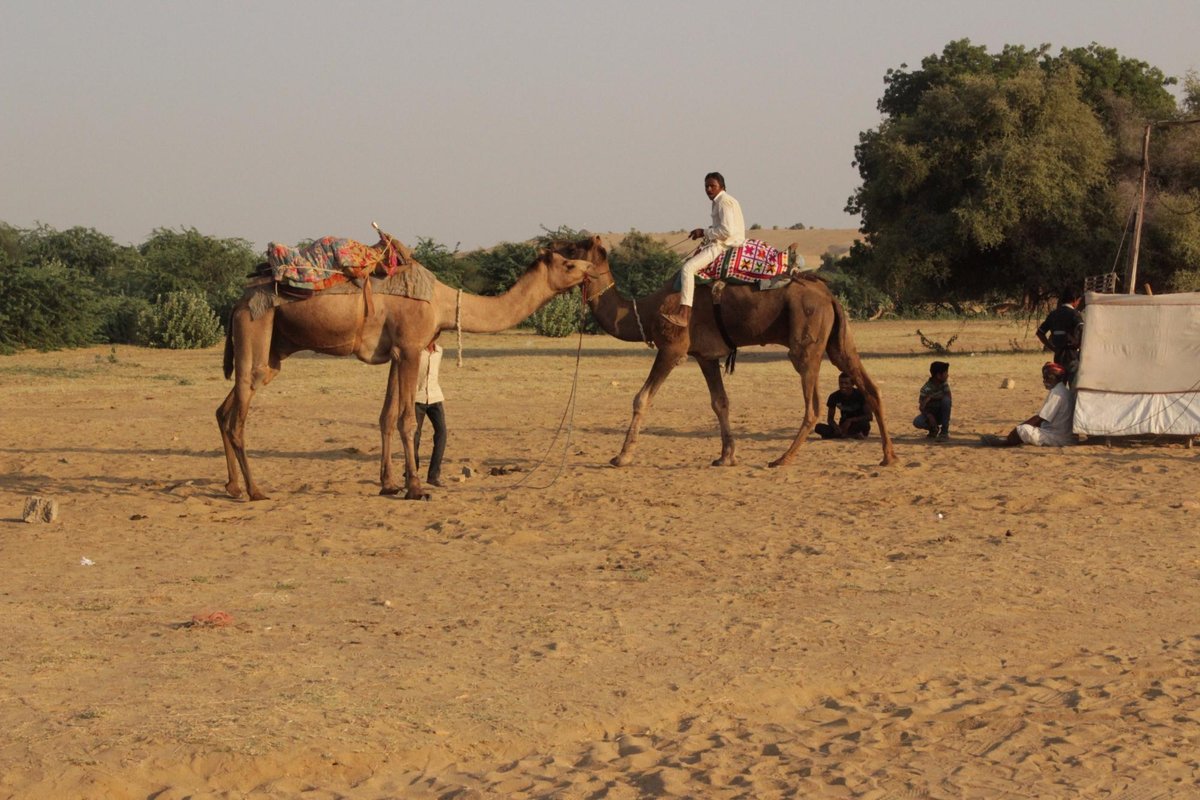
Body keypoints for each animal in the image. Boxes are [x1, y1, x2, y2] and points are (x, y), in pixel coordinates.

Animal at [218, 250, 592, 501]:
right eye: (569, 264)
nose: (591, 270)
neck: (442, 304)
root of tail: (238, 302)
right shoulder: (411, 348)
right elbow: (408, 421)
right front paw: (415, 487)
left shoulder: (396, 353)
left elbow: (386, 417)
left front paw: (388, 484)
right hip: (256, 326)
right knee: (239, 416)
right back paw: (255, 490)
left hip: (273, 350)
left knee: (226, 408)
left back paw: (233, 486)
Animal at [549, 235, 892, 465]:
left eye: (573, 248)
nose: (548, 249)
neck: (643, 311)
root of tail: (829, 296)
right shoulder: (706, 356)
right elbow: (720, 402)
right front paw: (726, 456)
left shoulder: (673, 348)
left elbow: (641, 398)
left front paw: (621, 456)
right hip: (838, 341)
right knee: (870, 387)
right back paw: (889, 457)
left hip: (805, 345)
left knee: (813, 405)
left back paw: (782, 459)